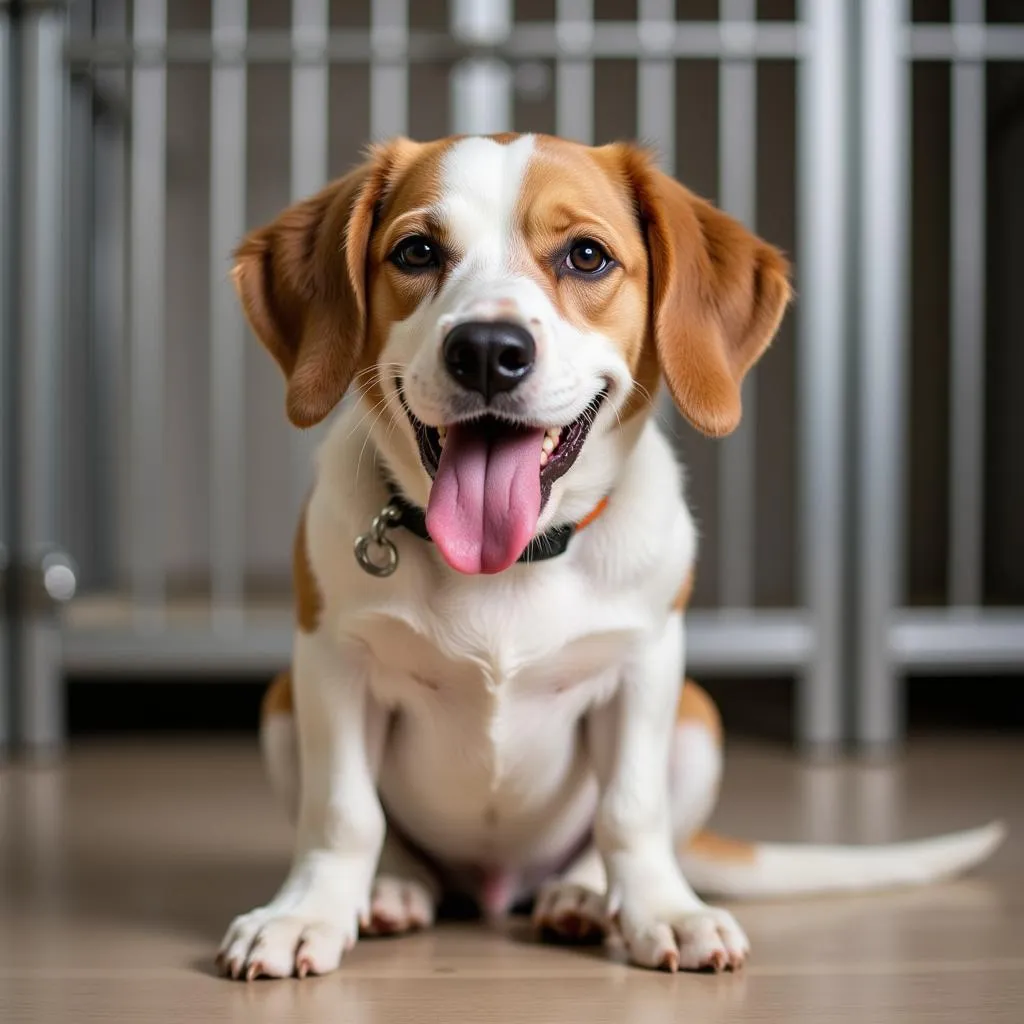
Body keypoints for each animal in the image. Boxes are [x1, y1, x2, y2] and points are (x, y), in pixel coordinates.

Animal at [211, 132, 1003, 978]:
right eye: (417, 251)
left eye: (586, 256)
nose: (486, 350)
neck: (513, 565)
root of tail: (496, 884)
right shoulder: (332, 665)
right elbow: (343, 812)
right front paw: (307, 914)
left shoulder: (644, 669)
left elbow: (630, 811)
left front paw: (662, 911)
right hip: (282, 705)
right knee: (398, 845)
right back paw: (395, 886)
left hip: (697, 721)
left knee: (604, 841)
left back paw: (585, 897)